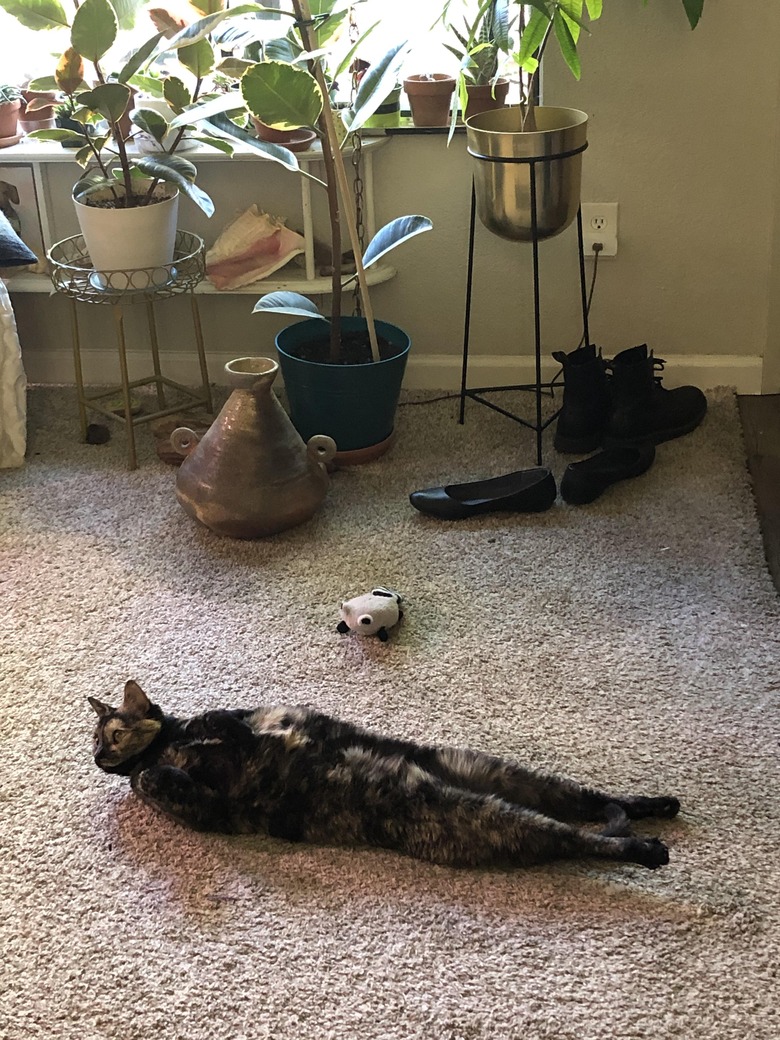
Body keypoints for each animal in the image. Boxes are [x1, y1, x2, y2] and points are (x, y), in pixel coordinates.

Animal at [88, 682, 682, 869]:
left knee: (587, 813)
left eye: (110, 734)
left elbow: (227, 720)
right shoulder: (205, 805)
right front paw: (160, 768)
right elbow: (163, 779)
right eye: (96, 741)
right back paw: (646, 835)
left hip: (496, 779)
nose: (96, 757)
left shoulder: (256, 715)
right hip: (486, 806)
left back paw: (651, 816)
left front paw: (212, 727)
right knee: (580, 830)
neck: (169, 741)